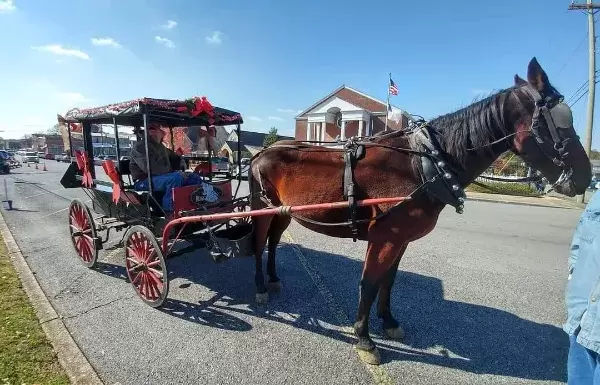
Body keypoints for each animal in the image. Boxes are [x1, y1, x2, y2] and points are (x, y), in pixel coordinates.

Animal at [247, 57, 592, 364]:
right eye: (559, 119)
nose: (586, 176)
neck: (425, 163)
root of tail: (262, 151)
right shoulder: (385, 237)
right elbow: (369, 283)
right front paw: (365, 339)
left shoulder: (399, 239)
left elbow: (388, 281)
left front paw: (388, 322)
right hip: (264, 208)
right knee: (258, 244)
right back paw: (260, 286)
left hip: (283, 211)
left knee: (274, 242)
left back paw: (273, 279)